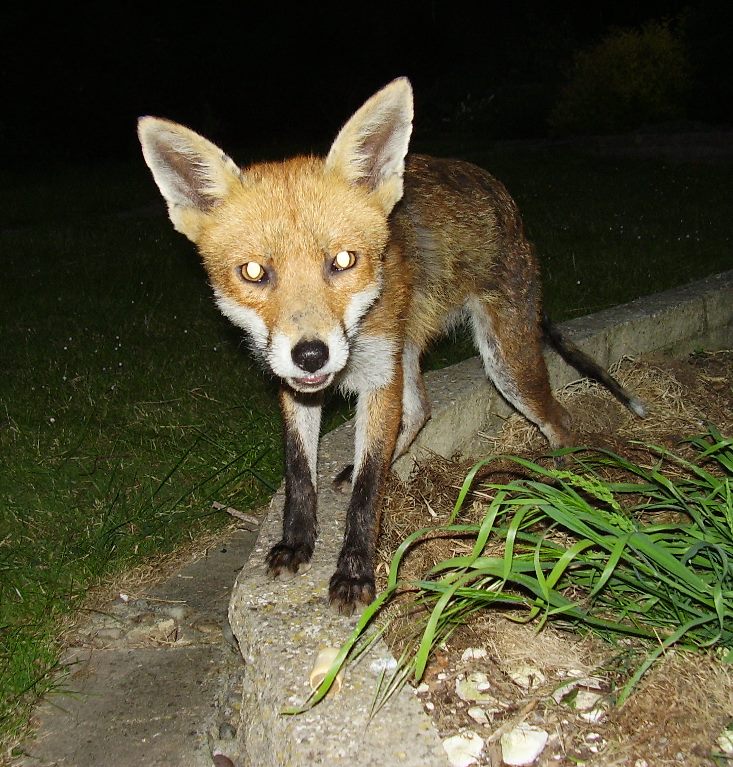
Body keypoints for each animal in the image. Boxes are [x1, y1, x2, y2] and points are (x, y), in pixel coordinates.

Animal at [137, 78, 640, 616]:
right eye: (253, 272)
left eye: (343, 261)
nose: (310, 354)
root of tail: (496, 189)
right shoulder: (299, 388)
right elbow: (299, 471)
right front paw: (297, 542)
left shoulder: (379, 377)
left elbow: (368, 491)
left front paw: (355, 574)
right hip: (411, 351)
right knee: (421, 410)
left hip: (505, 362)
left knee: (557, 420)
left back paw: (565, 493)